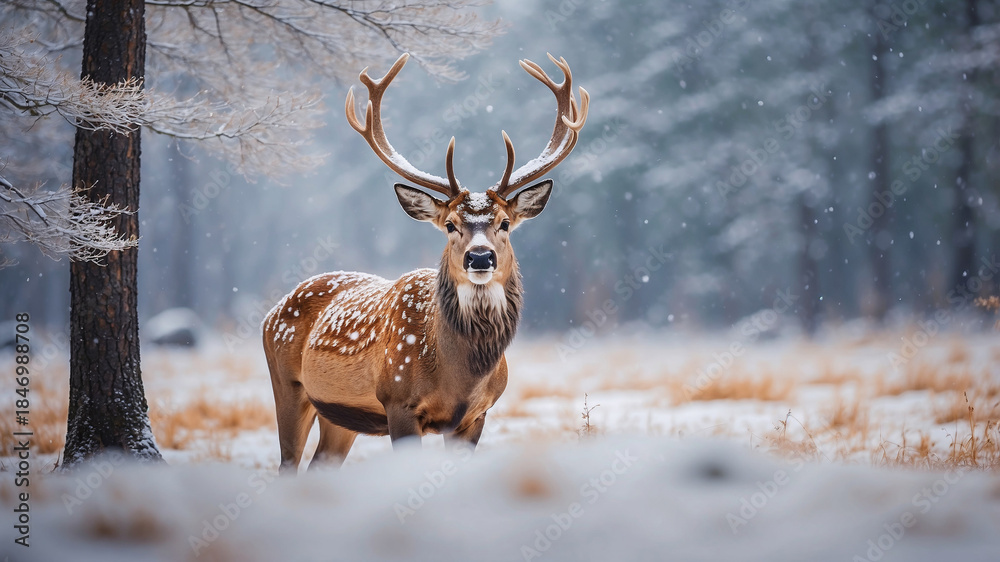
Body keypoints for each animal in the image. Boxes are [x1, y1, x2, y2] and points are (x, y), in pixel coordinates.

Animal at [262, 52, 588, 474]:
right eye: (450, 224)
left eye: (504, 222)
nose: (479, 257)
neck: (458, 375)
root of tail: (272, 312)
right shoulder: (398, 401)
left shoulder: (476, 416)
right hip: (286, 384)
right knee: (287, 464)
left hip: (338, 415)